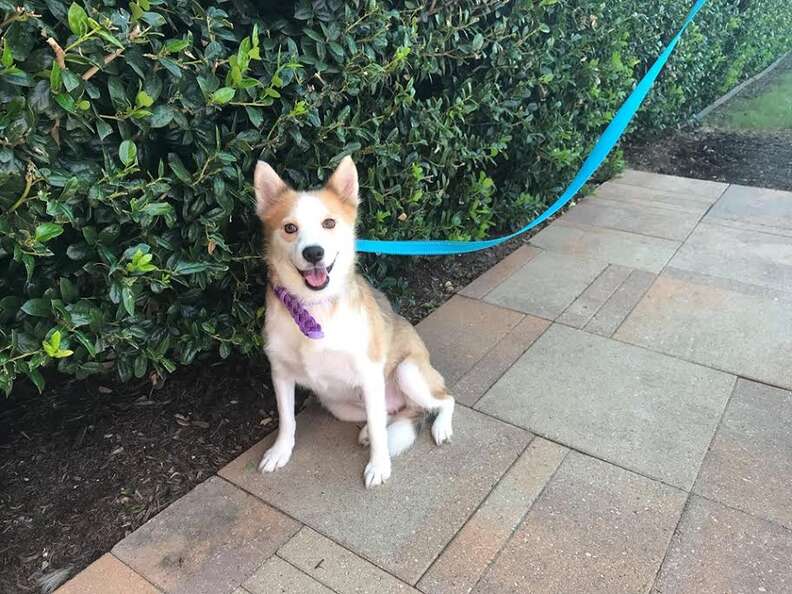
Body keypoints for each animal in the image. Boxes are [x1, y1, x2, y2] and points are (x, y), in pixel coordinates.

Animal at [251, 155, 454, 484]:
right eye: (290, 228)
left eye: (329, 223)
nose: (314, 253)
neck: (315, 307)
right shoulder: (280, 373)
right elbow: (286, 420)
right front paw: (280, 451)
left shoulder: (370, 374)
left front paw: (379, 466)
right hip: (337, 404)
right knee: (385, 415)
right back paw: (370, 432)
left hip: (408, 372)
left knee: (445, 400)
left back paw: (440, 427)